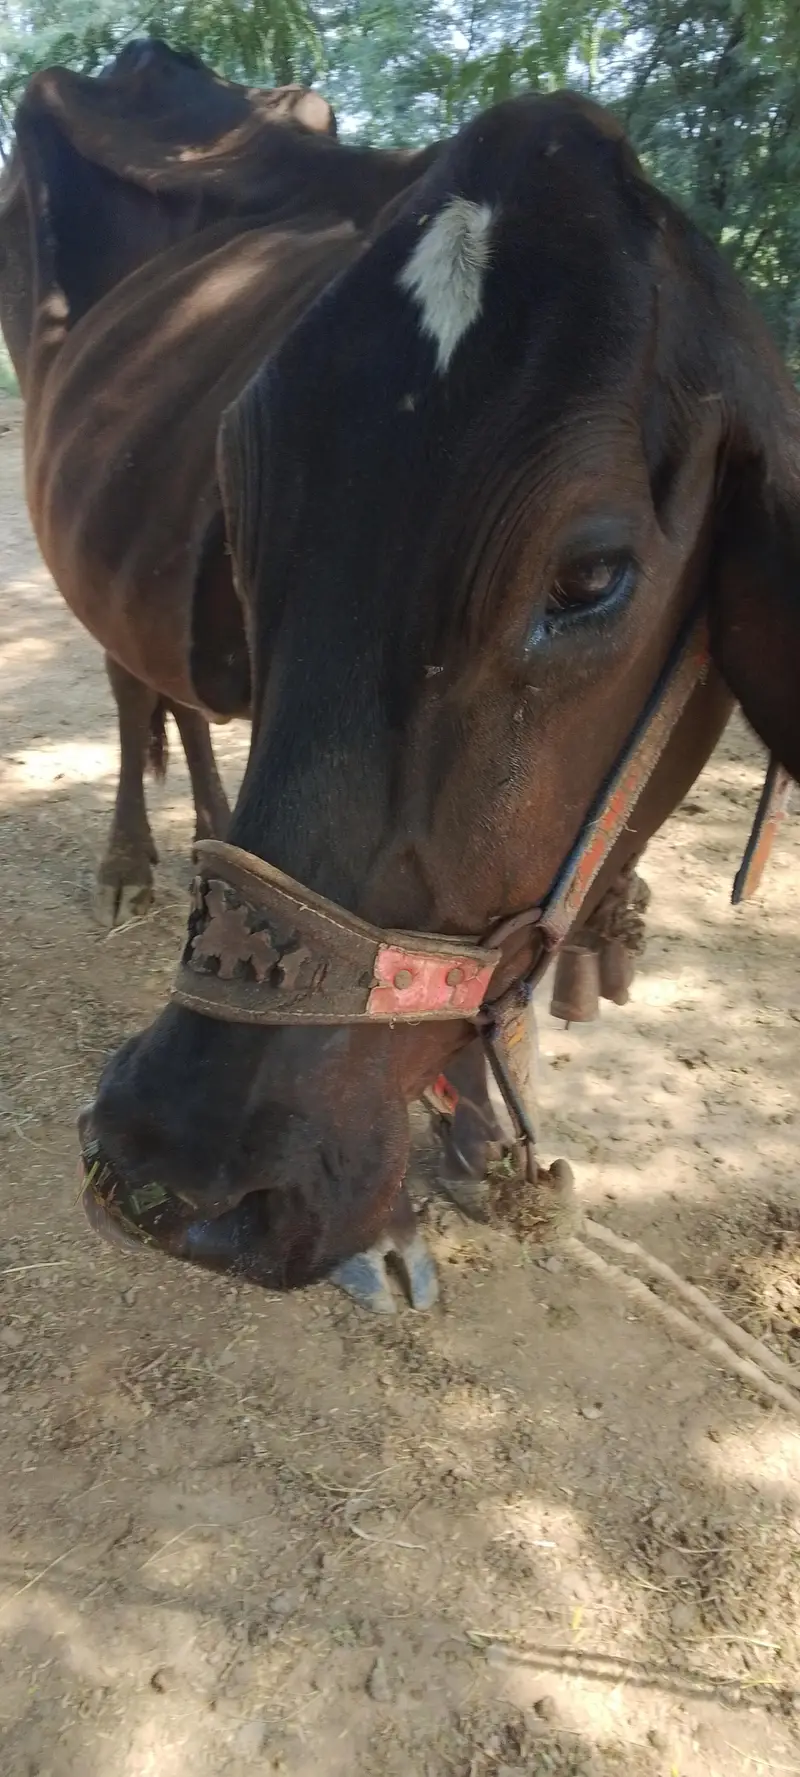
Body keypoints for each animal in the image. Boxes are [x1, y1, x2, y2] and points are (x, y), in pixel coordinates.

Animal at [75, 90, 798, 1315]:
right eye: (242, 513)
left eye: (588, 578)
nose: (174, 1163)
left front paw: (479, 1140)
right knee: (137, 689)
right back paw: (134, 860)